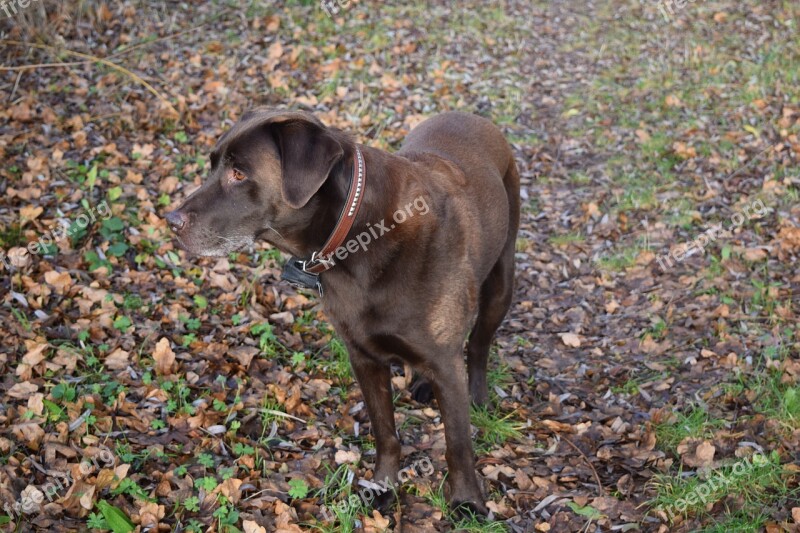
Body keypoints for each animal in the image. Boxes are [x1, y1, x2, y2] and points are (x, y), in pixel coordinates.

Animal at [166, 109, 520, 516]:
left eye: (239, 174)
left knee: (478, 344)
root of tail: (473, 117)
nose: (171, 220)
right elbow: (385, 431)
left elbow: (457, 443)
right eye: (212, 166)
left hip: (501, 280)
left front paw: (466, 500)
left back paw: (477, 395)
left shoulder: (446, 365)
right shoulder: (363, 355)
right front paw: (383, 485)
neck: (359, 235)